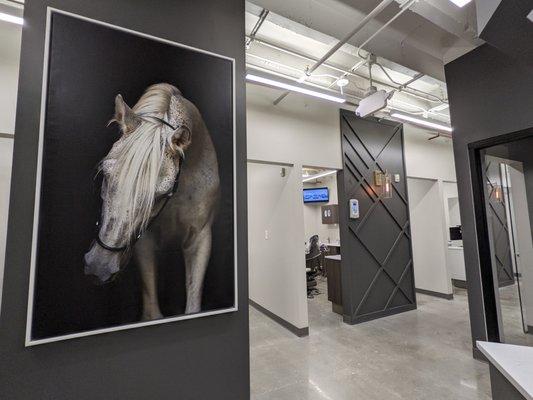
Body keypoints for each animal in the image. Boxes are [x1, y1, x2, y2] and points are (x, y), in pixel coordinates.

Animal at [84, 83, 219, 318]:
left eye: (161, 194)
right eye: (105, 175)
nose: (99, 267)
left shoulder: (200, 238)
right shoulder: (145, 241)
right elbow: (152, 311)